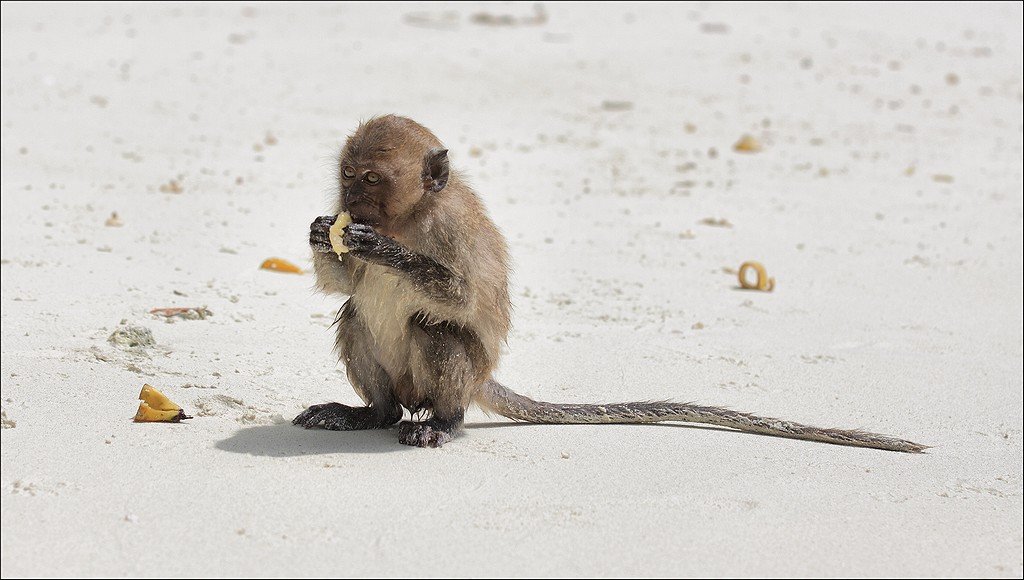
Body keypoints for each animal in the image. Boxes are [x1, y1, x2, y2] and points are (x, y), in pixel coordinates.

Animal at [294, 115, 929, 454]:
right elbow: (343, 285)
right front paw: (325, 234)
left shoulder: (450, 227)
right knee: (357, 319)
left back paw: (444, 423)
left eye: (371, 181)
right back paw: (374, 414)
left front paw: (384, 251)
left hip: (462, 375)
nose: (350, 204)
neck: (408, 217)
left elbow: (463, 299)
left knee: (438, 332)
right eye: (347, 177)